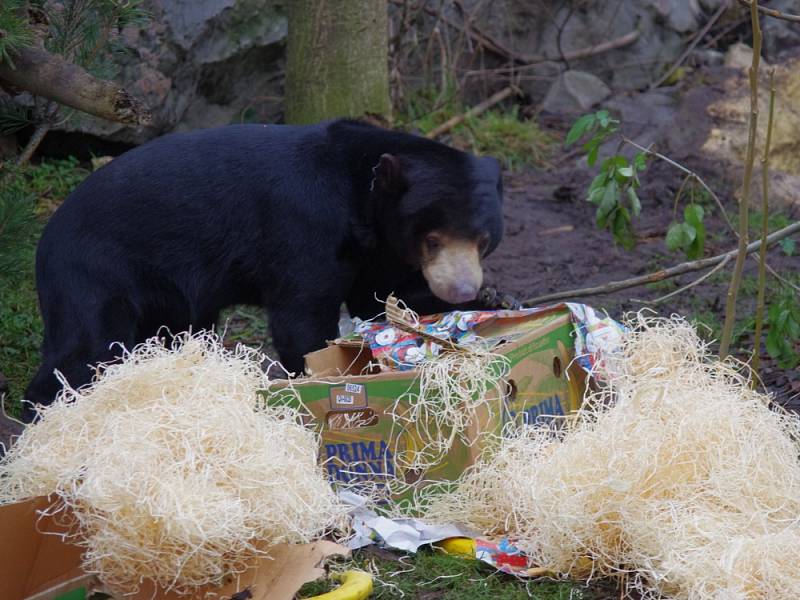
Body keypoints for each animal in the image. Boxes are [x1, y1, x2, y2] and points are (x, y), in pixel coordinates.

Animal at [25, 118, 506, 422]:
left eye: (483, 238)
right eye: (433, 239)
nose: (463, 289)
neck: (361, 197)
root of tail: (46, 236)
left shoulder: (374, 247)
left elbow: (379, 297)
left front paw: (492, 299)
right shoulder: (304, 224)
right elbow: (302, 314)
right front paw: (321, 375)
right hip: (98, 272)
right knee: (87, 348)